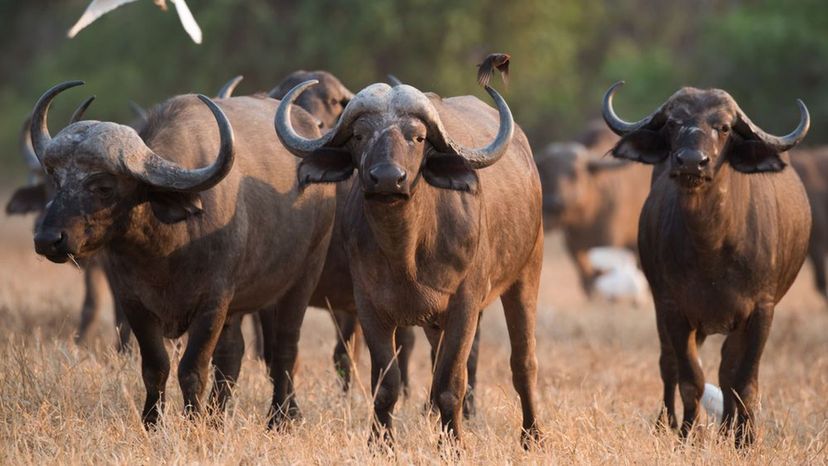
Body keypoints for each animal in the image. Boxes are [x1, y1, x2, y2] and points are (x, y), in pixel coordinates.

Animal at [29, 81, 334, 426]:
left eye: (104, 187)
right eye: (57, 180)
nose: (48, 239)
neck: (164, 252)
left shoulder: (213, 302)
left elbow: (192, 368)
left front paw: (193, 421)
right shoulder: (134, 302)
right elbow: (155, 366)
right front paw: (152, 422)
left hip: (302, 278)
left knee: (284, 348)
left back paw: (281, 418)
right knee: (233, 354)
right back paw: (217, 418)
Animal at [272, 81, 544, 448]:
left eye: (417, 137)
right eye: (359, 135)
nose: (388, 179)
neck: (407, 252)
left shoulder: (465, 305)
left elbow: (451, 382)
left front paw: (452, 445)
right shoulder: (369, 307)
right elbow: (386, 384)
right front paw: (380, 443)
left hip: (527, 273)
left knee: (523, 361)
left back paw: (532, 435)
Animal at [600, 82, 808, 446]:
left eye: (724, 127)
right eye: (673, 123)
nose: (691, 162)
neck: (711, 248)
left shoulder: (761, 310)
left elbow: (743, 381)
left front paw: (745, 440)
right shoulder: (673, 308)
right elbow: (690, 377)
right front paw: (689, 434)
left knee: (727, 373)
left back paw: (727, 430)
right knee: (669, 364)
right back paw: (667, 423)